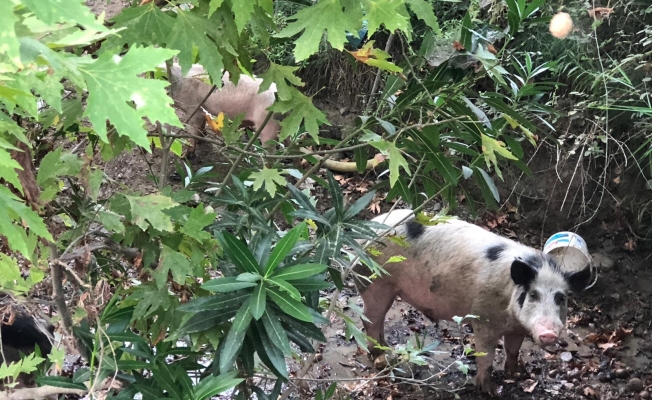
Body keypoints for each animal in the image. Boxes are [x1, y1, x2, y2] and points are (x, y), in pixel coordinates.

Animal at [353, 209, 591, 396]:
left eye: (561, 298)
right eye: (533, 295)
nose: (549, 333)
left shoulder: (517, 328)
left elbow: (513, 350)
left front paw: (518, 374)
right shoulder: (484, 319)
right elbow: (486, 356)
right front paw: (491, 391)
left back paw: (386, 350)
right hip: (375, 283)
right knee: (370, 319)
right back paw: (382, 358)